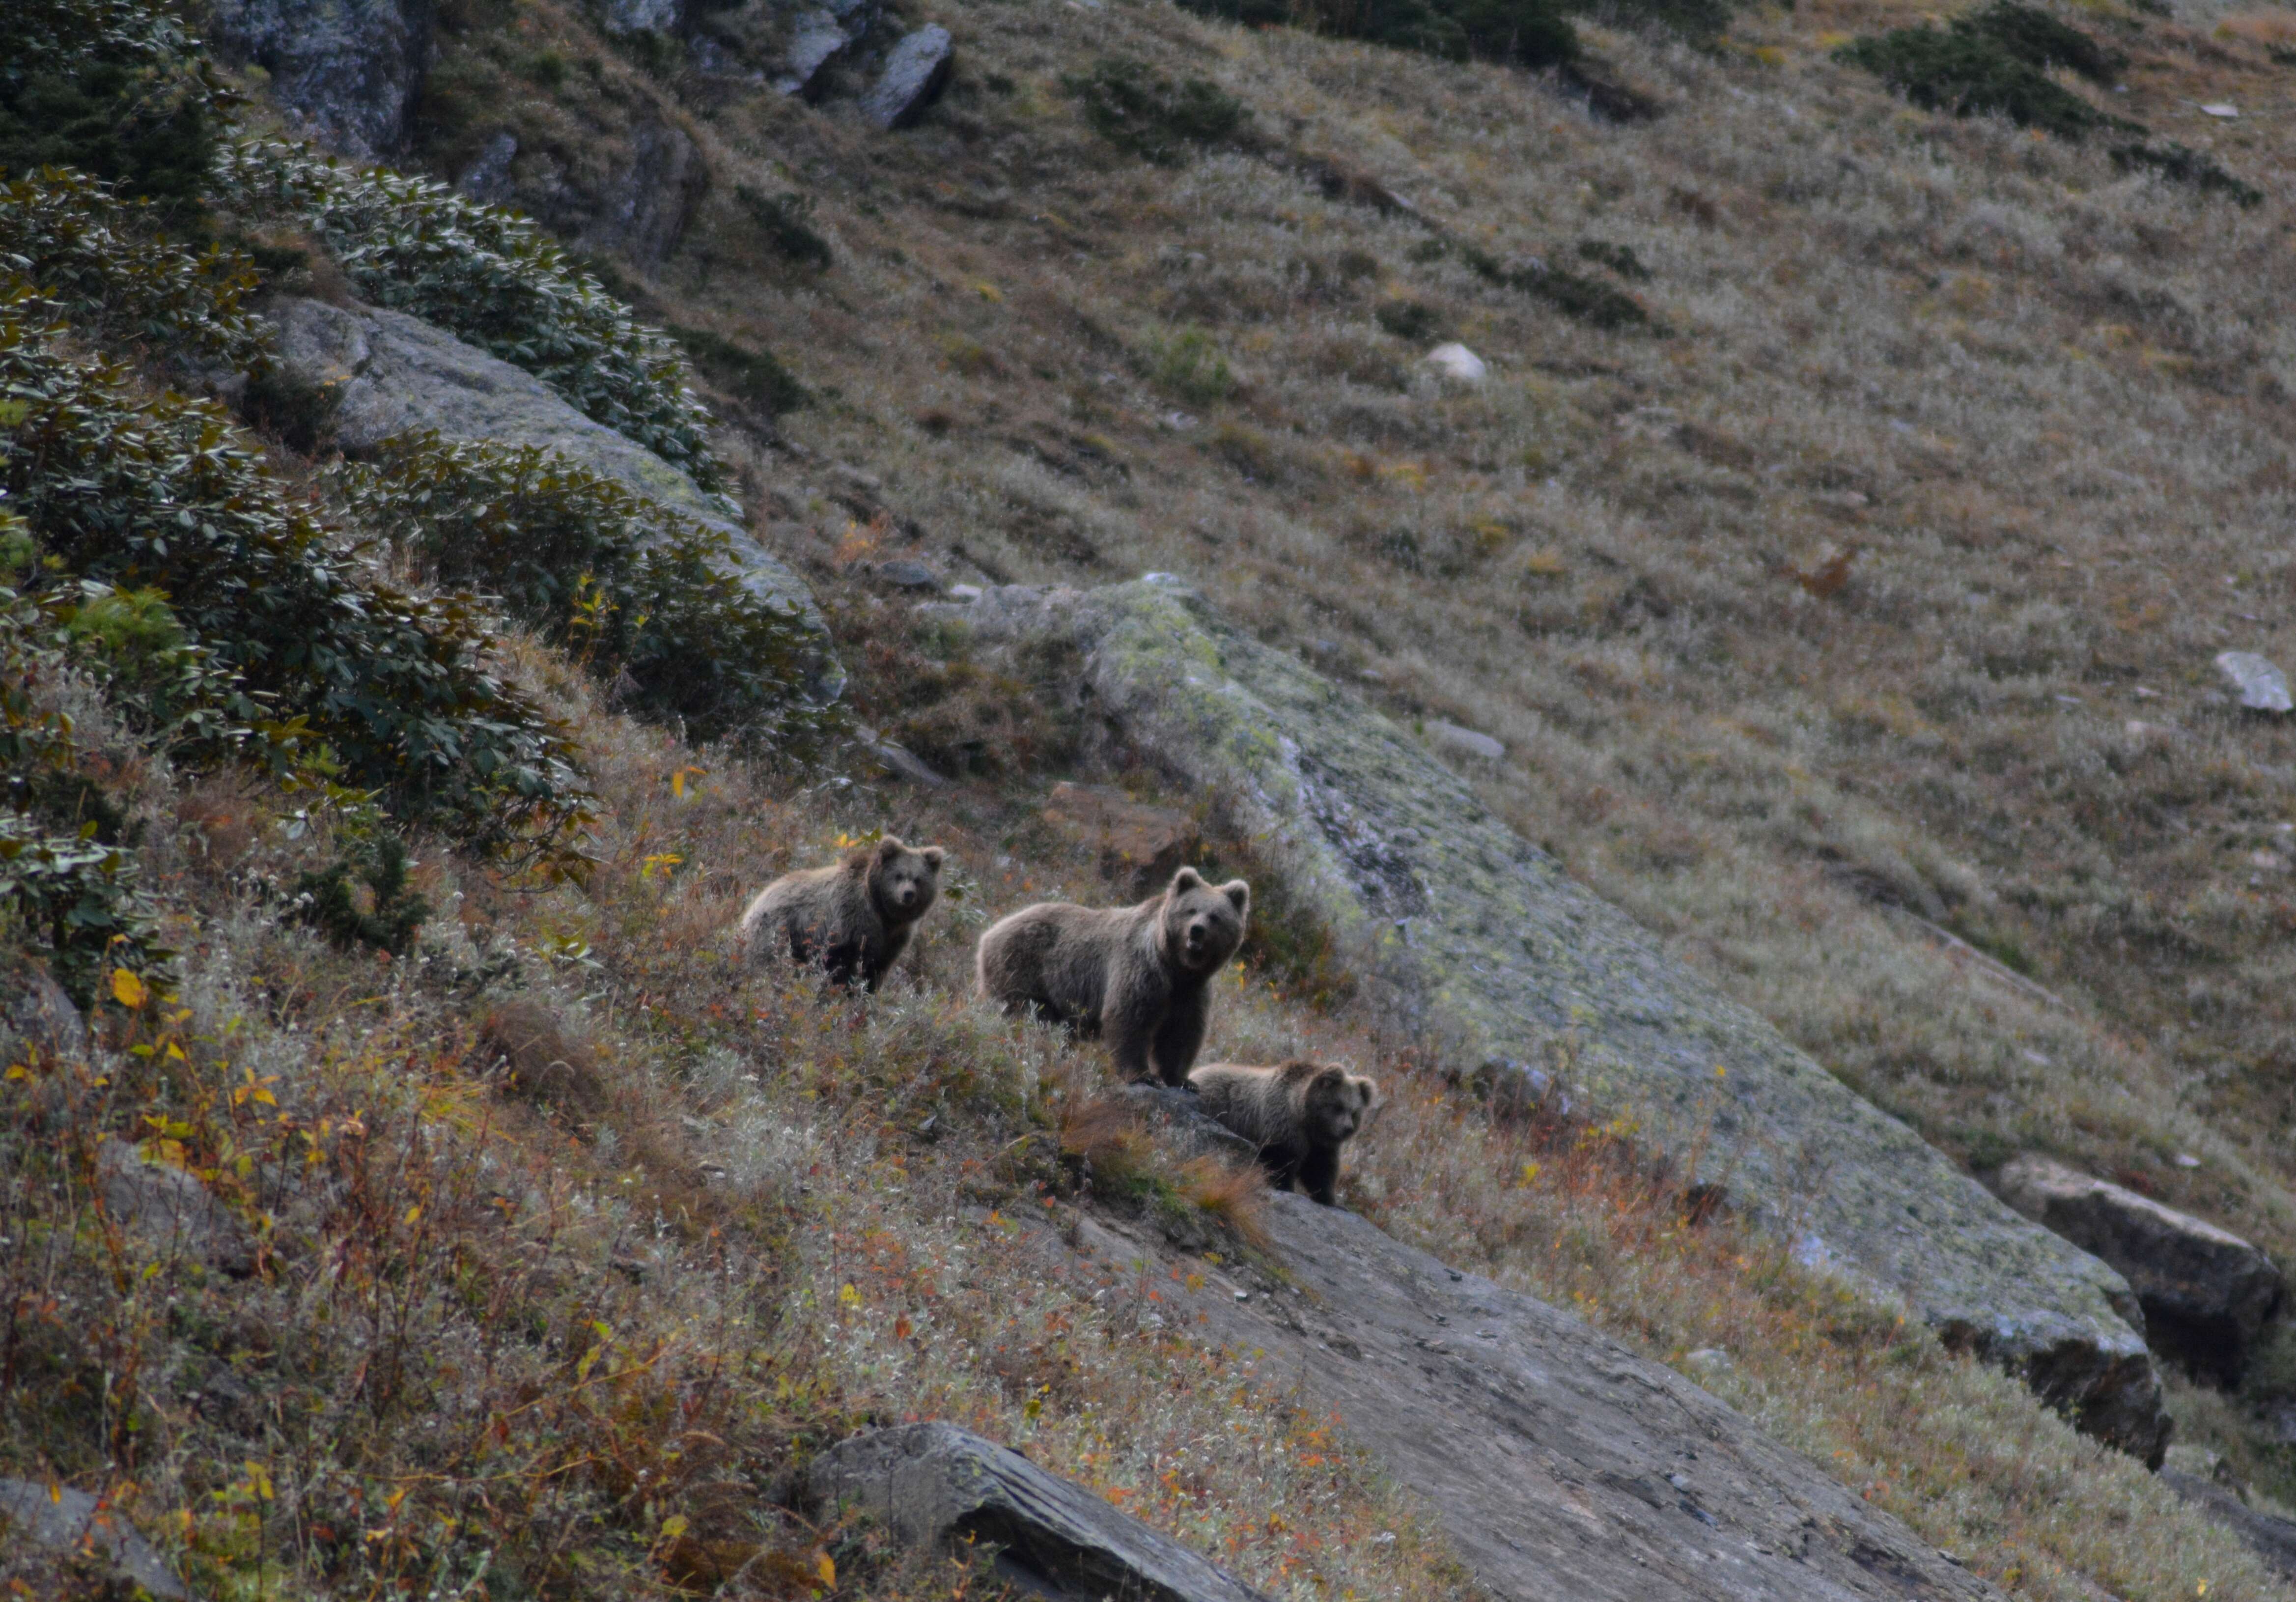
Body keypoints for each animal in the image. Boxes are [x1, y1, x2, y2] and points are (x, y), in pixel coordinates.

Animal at [744, 835, 941, 986]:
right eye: (898, 876)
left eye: (918, 879)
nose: (908, 894)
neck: (883, 912)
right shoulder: (853, 922)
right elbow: (846, 965)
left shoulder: (893, 940)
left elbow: (877, 969)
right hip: (781, 931)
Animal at [973, 867, 1249, 1078]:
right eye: (1191, 910)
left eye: (1215, 916)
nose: (1196, 931)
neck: (1176, 967)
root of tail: (989, 932)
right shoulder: (1141, 969)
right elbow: (1129, 1017)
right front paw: (1141, 1075)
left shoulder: (1191, 992)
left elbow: (1181, 1033)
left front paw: (1180, 1079)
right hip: (1023, 967)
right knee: (1028, 1013)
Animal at [1194, 1060, 1368, 1193]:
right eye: (1338, 1107)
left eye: (1354, 1112)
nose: (1347, 1128)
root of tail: (1197, 1072)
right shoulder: (1281, 1122)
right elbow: (1281, 1158)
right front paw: (1284, 1186)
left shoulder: (1320, 1144)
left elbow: (1320, 1168)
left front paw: (1328, 1198)